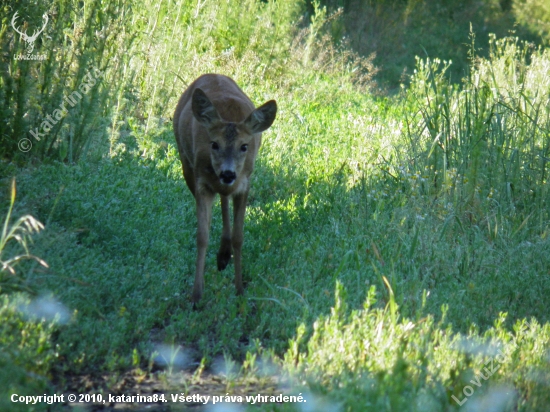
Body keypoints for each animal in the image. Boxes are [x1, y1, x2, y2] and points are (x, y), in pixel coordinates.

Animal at [175, 74, 278, 302]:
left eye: (244, 146)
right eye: (214, 144)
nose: (228, 173)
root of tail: (211, 74)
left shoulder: (244, 183)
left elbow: (239, 237)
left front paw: (239, 290)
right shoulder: (202, 182)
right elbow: (202, 236)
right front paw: (197, 295)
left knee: (224, 199)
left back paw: (224, 254)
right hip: (186, 164)